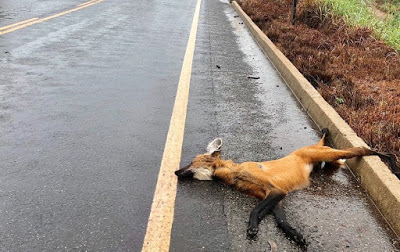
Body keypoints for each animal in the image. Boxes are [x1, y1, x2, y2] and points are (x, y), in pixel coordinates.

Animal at [176, 129, 400, 251]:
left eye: (191, 163)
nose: (176, 171)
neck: (234, 174)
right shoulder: (273, 196)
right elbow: (282, 221)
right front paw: (296, 236)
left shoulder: (275, 191)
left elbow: (255, 211)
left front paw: (252, 227)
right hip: (330, 161)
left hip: (328, 155)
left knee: (360, 149)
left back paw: (390, 160)